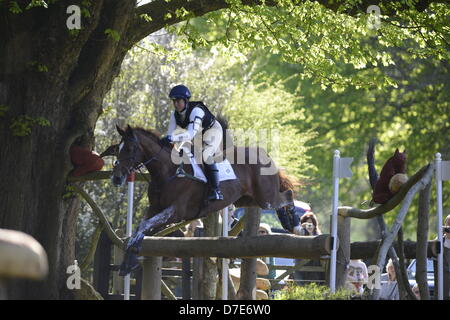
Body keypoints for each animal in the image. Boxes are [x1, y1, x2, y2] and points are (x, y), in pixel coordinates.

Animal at [110, 124, 298, 274]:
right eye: (117, 149)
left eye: (129, 148)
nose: (116, 178)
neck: (168, 172)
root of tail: (264, 154)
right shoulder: (155, 208)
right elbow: (141, 228)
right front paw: (128, 261)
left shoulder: (176, 211)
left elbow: (145, 226)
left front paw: (131, 259)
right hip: (247, 199)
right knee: (280, 198)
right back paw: (287, 222)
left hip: (265, 197)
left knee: (287, 195)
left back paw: (294, 225)